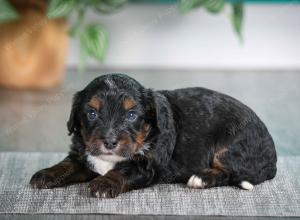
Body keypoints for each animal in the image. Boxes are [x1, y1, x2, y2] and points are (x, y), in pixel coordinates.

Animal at [29, 73, 276, 198]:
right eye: (91, 113)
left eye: (131, 115)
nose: (109, 142)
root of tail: (272, 162)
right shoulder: (83, 152)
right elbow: (67, 164)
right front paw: (46, 174)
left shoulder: (148, 164)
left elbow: (124, 170)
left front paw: (104, 183)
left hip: (231, 145)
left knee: (229, 171)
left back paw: (201, 178)